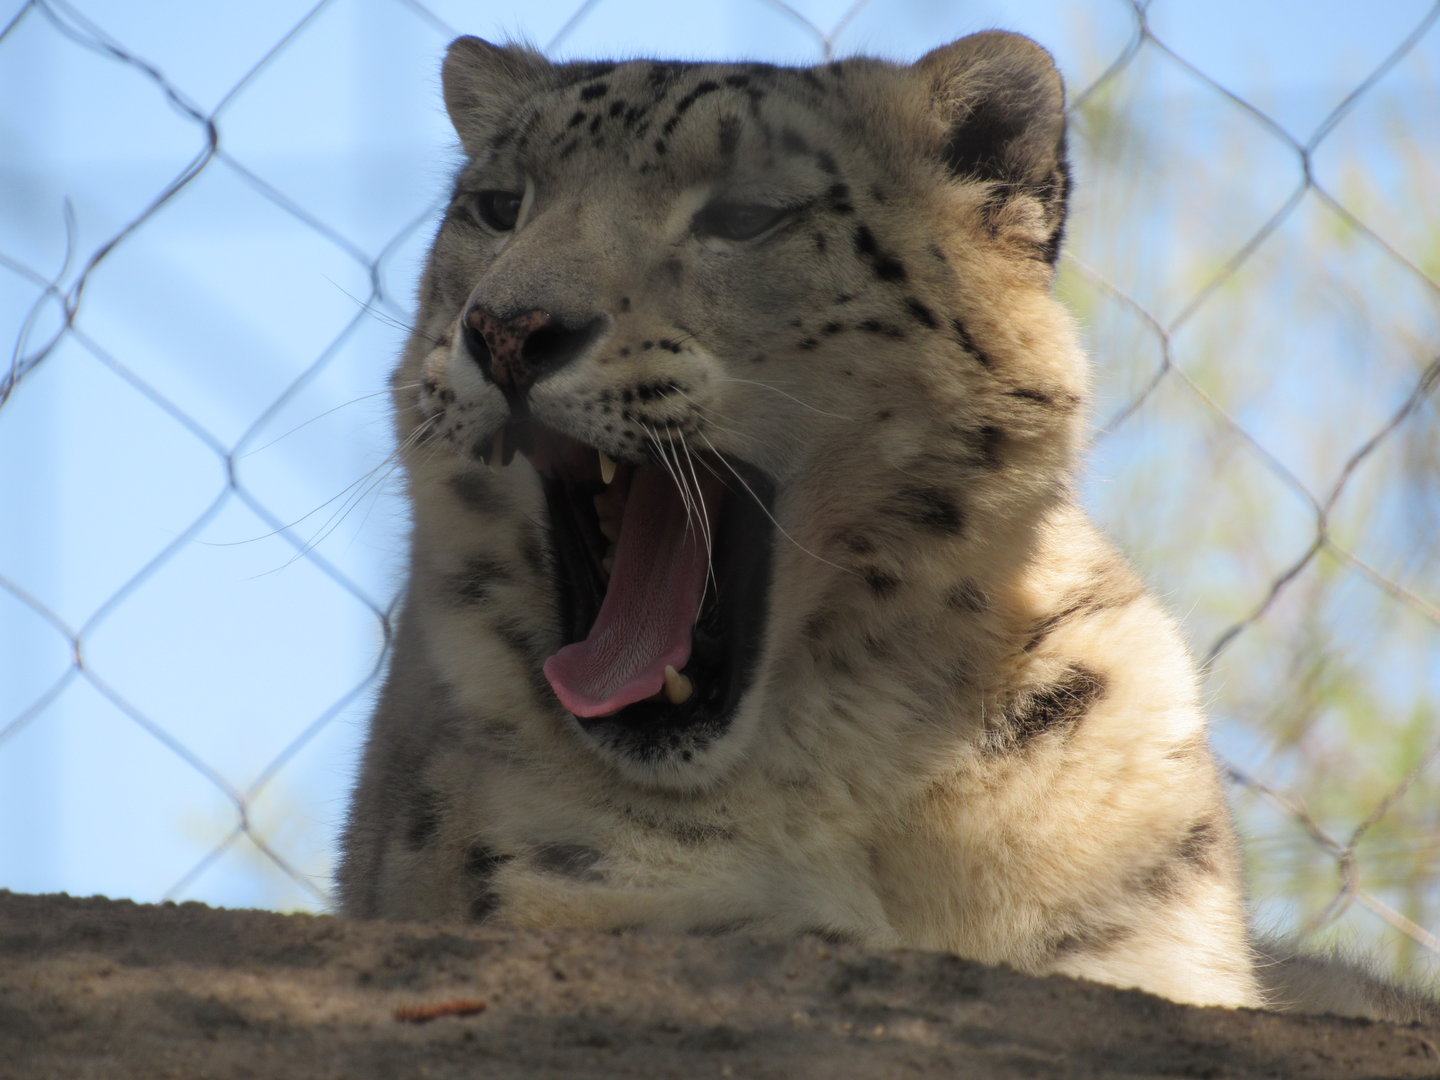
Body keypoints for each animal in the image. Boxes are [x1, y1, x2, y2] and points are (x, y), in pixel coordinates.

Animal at [337, 30, 1437, 1023]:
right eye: (497, 206)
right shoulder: (574, 892)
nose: (508, 331)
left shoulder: (1140, 938)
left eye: (745, 215)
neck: (858, 759)